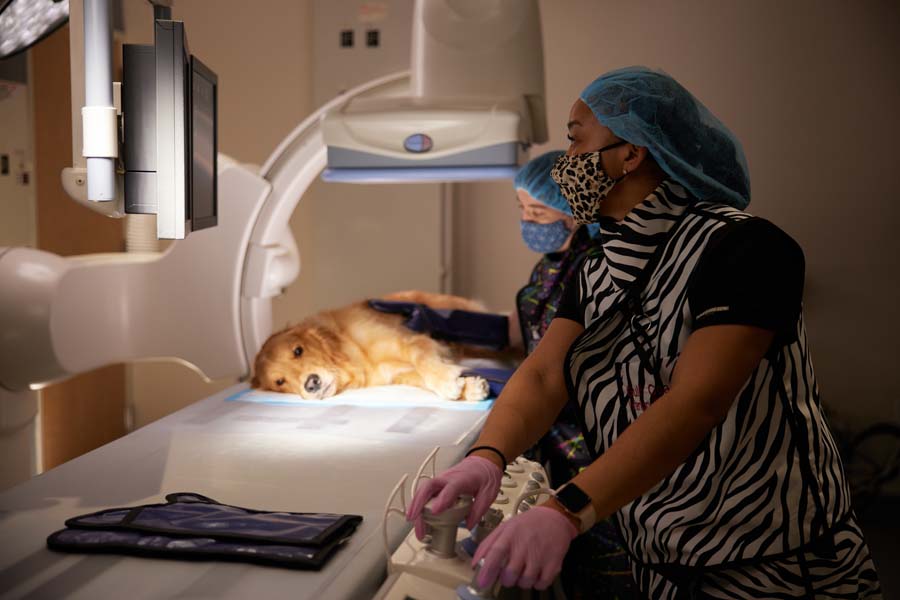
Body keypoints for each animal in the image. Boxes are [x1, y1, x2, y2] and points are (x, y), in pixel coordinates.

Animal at [251, 292, 500, 404]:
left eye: (298, 350)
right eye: (279, 382)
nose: (312, 384)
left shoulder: (409, 342)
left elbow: (422, 361)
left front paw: (447, 382)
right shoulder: (399, 374)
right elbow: (423, 377)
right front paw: (469, 387)